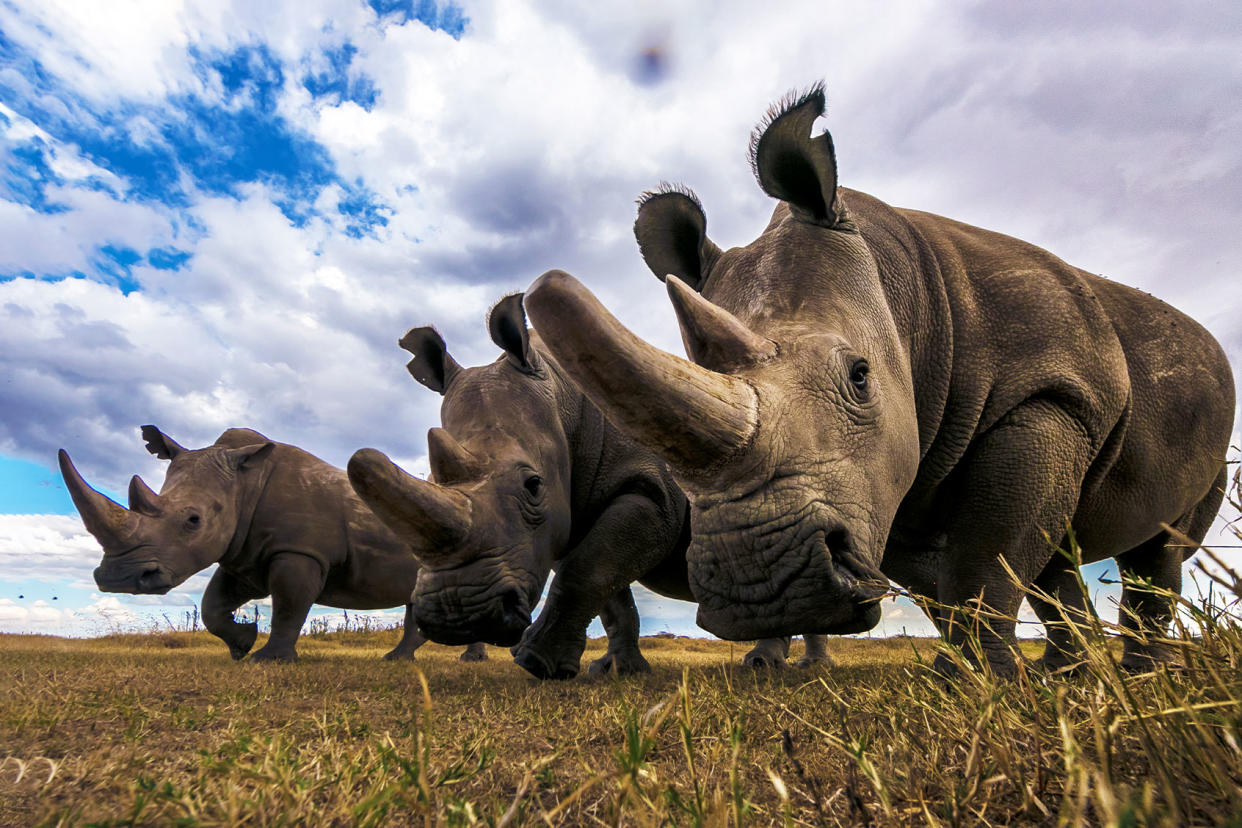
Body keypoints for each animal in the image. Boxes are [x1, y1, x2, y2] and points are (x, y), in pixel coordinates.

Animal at [59, 431, 484, 665]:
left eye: (193, 520)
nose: (117, 579)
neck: (243, 485)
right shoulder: (244, 556)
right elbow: (213, 604)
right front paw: (241, 644)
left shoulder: (298, 551)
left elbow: (290, 605)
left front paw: (268, 660)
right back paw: (400, 659)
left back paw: (454, 659)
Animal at [345, 297, 824, 680]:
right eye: (430, 479)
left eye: (533, 485)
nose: (457, 615)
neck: (563, 399)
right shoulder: (570, 511)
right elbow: (609, 594)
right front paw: (618, 670)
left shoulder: (652, 494)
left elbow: (588, 569)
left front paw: (536, 664)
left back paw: (775, 667)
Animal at [521, 85, 1232, 680]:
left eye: (860, 378)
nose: (762, 586)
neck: (903, 290)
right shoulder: (893, 479)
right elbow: (958, 574)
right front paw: (977, 675)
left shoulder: (1053, 396)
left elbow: (989, 551)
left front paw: (969, 684)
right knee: (1061, 555)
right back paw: (1076, 678)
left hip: (1208, 412)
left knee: (1158, 553)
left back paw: (1140, 679)